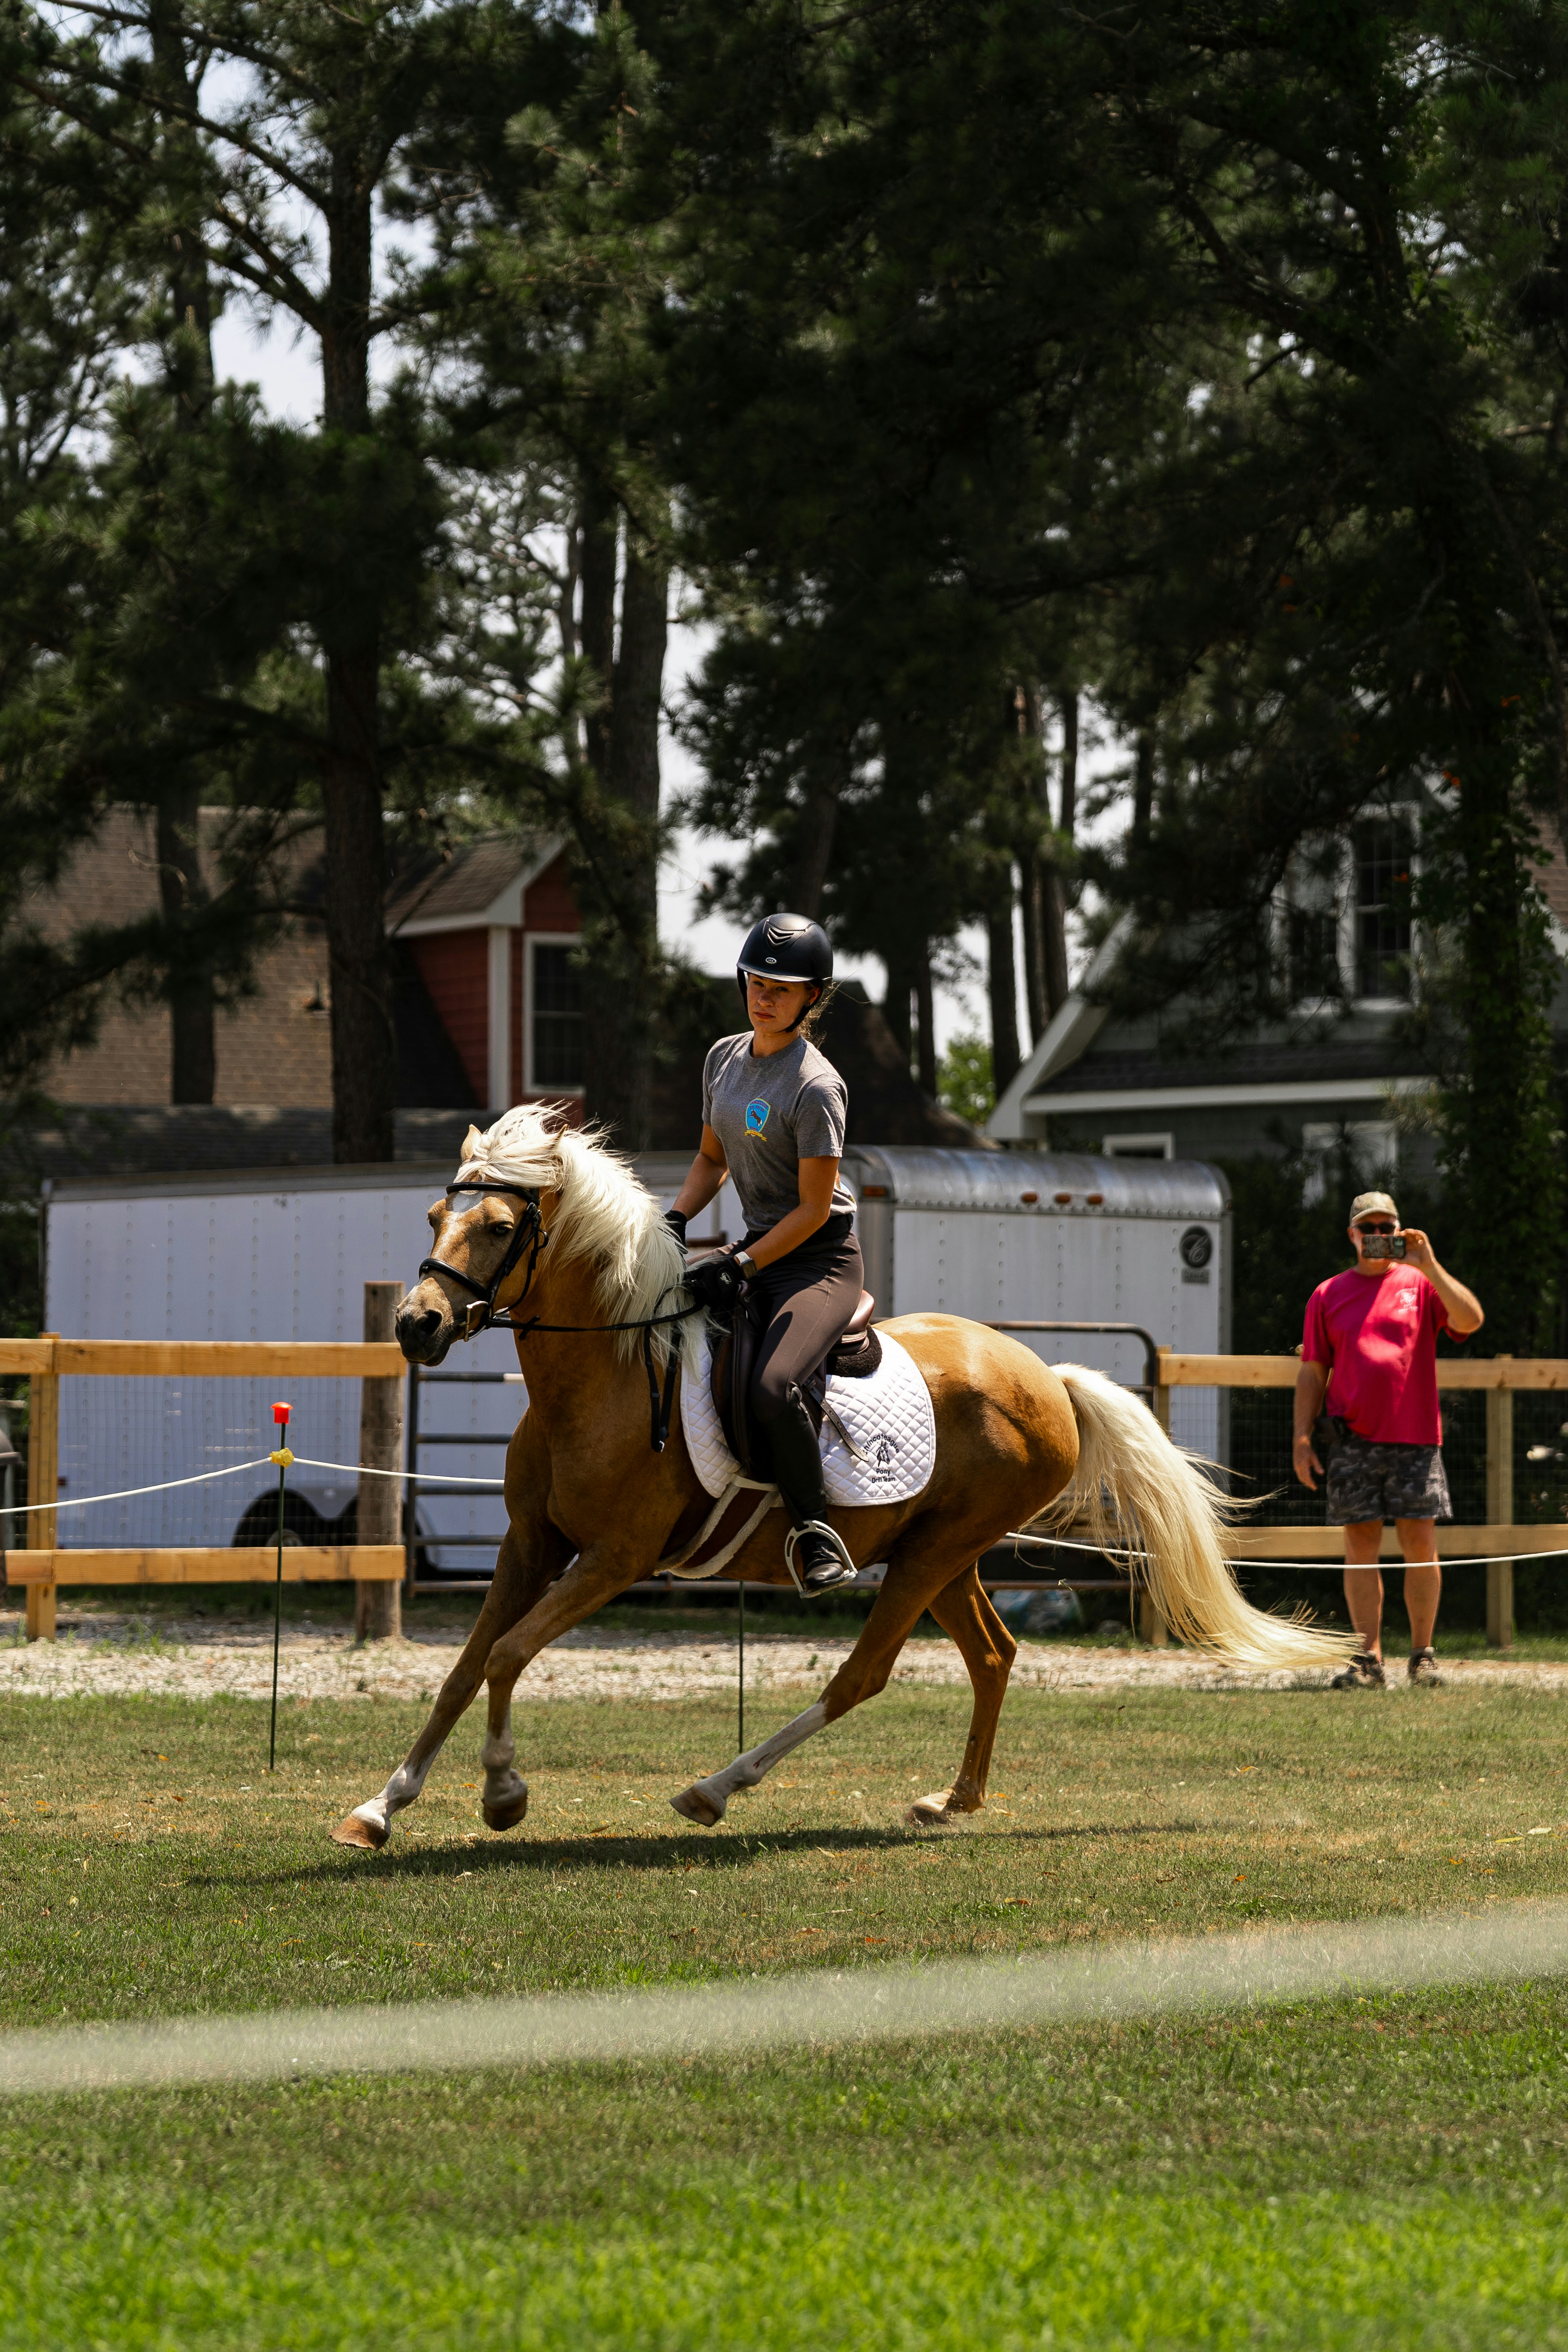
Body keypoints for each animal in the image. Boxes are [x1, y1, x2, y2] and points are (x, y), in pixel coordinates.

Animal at [332, 1106, 1354, 1849]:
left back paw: (717, 1788)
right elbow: (464, 1670)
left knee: (865, 1674)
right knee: (993, 1655)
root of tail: (1046, 1376)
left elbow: (508, 1656)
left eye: (501, 1225)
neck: (608, 1372)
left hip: (933, 1554)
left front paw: (504, 1792)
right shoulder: (528, 1544)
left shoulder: (614, 1558)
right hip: (942, 1553)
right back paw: (951, 1801)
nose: (418, 1324)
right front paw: (379, 1808)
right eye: (436, 1217)